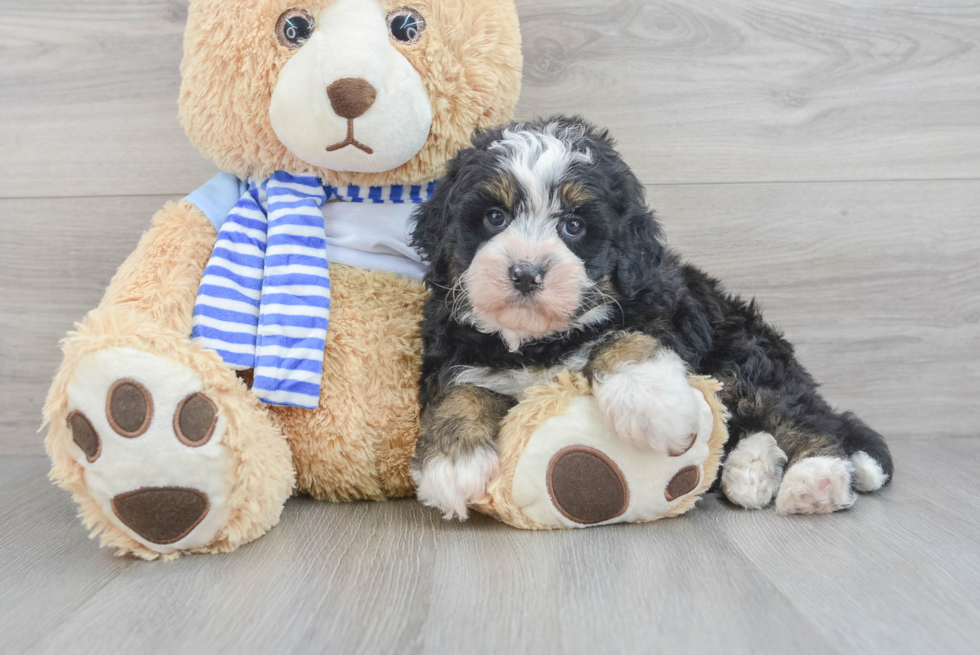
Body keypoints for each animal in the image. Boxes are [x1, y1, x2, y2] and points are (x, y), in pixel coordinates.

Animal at [410, 115, 892, 520]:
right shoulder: (455, 353)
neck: (540, 341)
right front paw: (453, 461)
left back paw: (816, 478)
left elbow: (623, 336)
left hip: (743, 356)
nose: (526, 273)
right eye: (495, 217)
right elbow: (461, 389)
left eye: (573, 226)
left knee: (801, 415)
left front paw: (653, 405)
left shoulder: (662, 312)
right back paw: (752, 468)